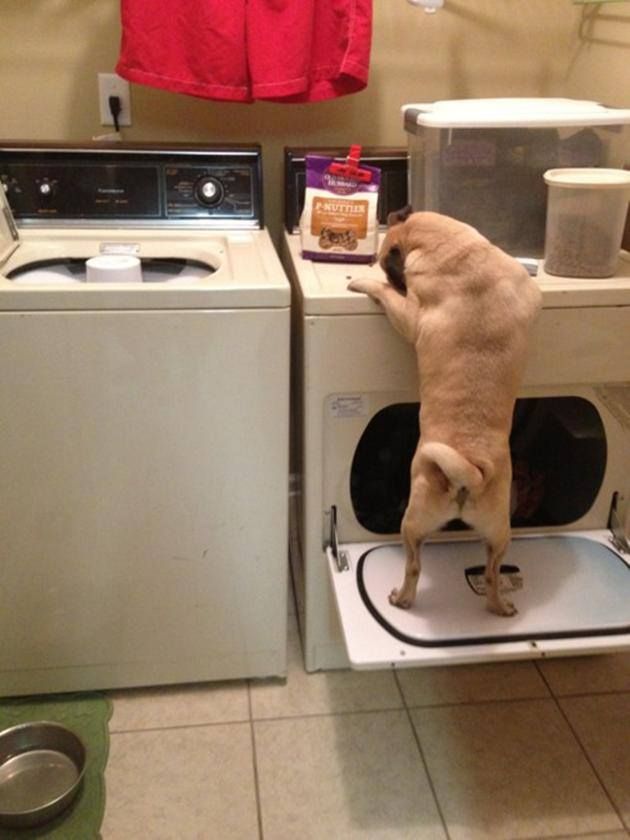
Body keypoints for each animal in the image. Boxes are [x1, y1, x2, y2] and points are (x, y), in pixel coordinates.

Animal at [348, 208, 540, 616]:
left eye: (387, 262)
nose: (393, 274)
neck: (448, 246)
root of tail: (471, 472)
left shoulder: (408, 315)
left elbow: (384, 293)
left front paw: (364, 281)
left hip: (412, 523)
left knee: (414, 566)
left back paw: (402, 598)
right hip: (500, 534)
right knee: (491, 573)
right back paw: (500, 607)